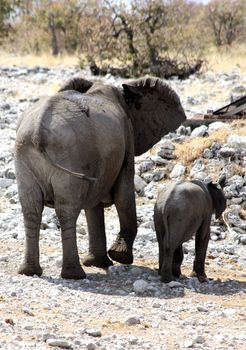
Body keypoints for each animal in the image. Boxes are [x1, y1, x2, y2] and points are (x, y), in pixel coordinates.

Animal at [15, 76, 186, 278]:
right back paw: (74, 275)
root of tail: (37, 133)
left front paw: (99, 262)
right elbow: (124, 195)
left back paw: (29, 272)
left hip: (26, 156)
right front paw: (119, 257)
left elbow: (94, 205)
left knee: (31, 209)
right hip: (69, 156)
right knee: (66, 210)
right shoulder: (127, 138)